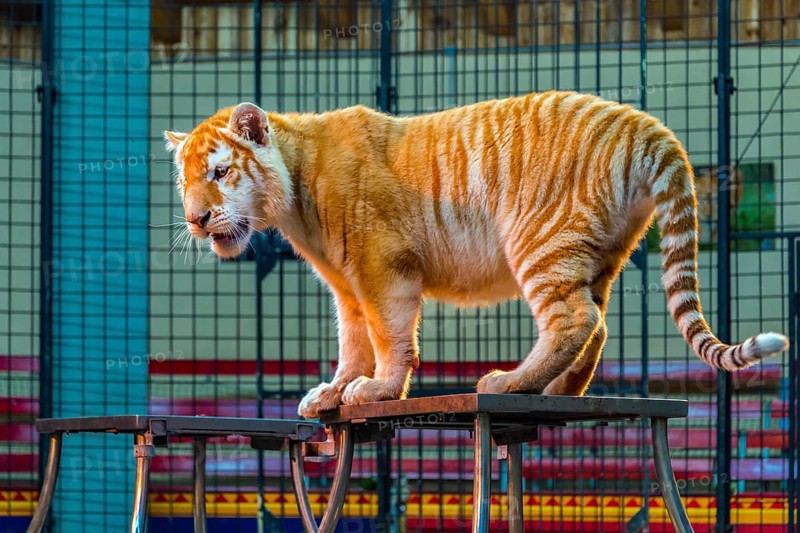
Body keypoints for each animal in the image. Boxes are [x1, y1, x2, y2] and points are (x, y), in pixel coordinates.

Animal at [164, 92, 790, 419]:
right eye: (184, 181)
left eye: (219, 172)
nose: (196, 219)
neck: (292, 193)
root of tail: (646, 124)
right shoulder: (346, 284)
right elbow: (353, 341)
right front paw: (333, 391)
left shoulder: (381, 267)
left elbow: (388, 337)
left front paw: (378, 390)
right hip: (601, 253)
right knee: (598, 325)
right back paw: (555, 392)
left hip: (539, 241)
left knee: (576, 319)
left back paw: (508, 384)